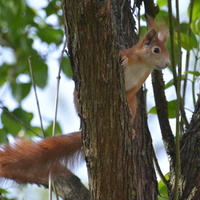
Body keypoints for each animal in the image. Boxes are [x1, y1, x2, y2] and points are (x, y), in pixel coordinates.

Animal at [0, 15, 170, 184]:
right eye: (156, 50)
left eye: (167, 52)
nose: (168, 63)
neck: (142, 65)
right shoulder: (128, 54)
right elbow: (123, 56)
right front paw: (124, 61)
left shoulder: (139, 82)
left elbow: (131, 93)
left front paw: (127, 109)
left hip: (135, 104)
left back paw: (132, 130)